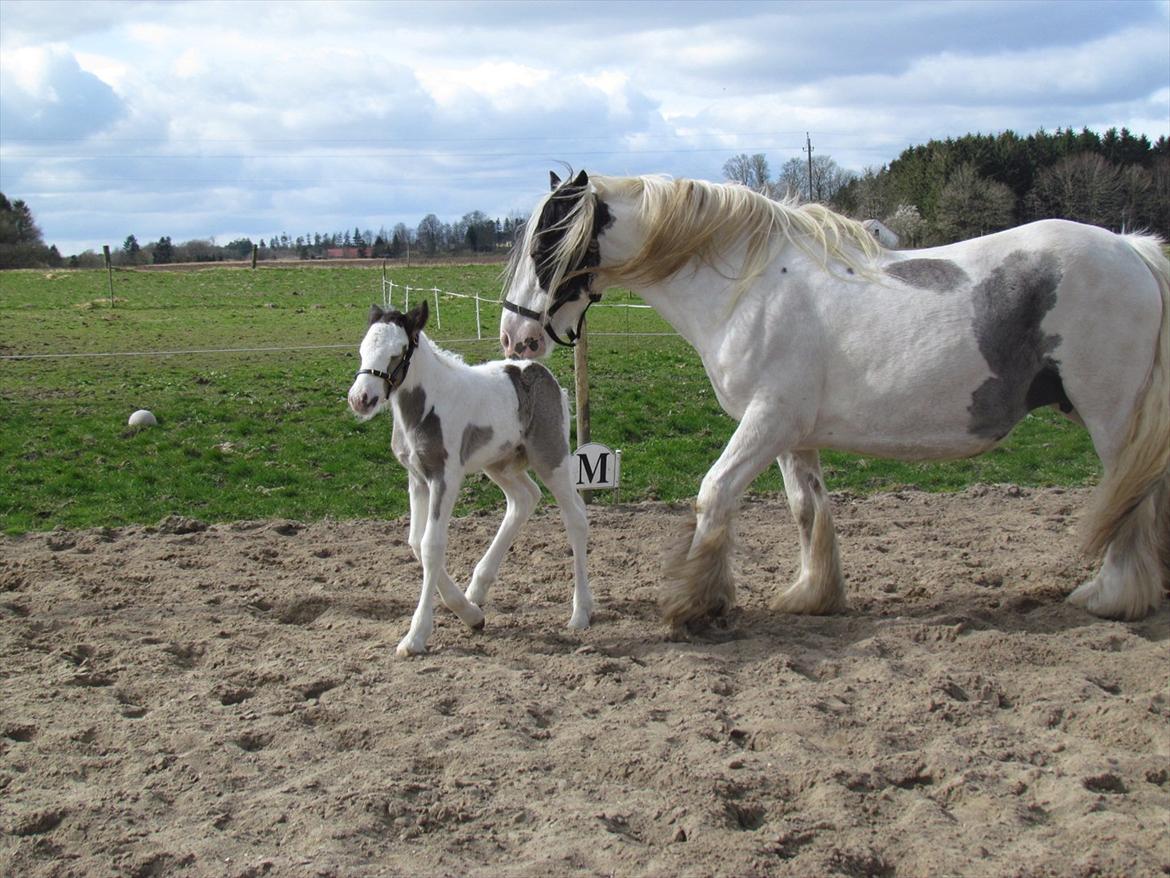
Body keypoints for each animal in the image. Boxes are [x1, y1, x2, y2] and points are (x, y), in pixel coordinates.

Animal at [503, 168, 1170, 627]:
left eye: (547, 243)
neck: (750, 289)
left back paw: (1111, 597)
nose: (515, 337)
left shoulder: (766, 421)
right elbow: (807, 509)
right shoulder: (791, 435)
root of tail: (1132, 250)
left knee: (1129, 499)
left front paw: (695, 604)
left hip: (1113, 419)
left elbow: (714, 493)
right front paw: (811, 596)